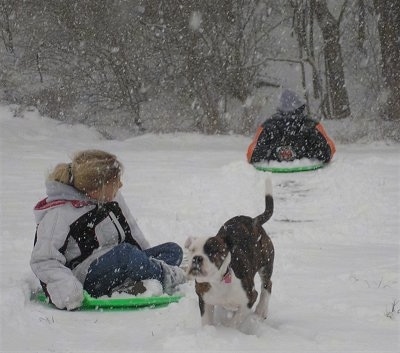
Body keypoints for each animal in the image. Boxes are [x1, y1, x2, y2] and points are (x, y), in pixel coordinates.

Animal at [185, 180, 276, 326]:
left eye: (213, 251)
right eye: (192, 250)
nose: (197, 258)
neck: (218, 281)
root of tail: (254, 221)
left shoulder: (249, 297)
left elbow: (235, 321)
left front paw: (227, 329)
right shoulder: (204, 300)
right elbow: (207, 320)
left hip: (266, 264)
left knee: (267, 285)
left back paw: (260, 311)